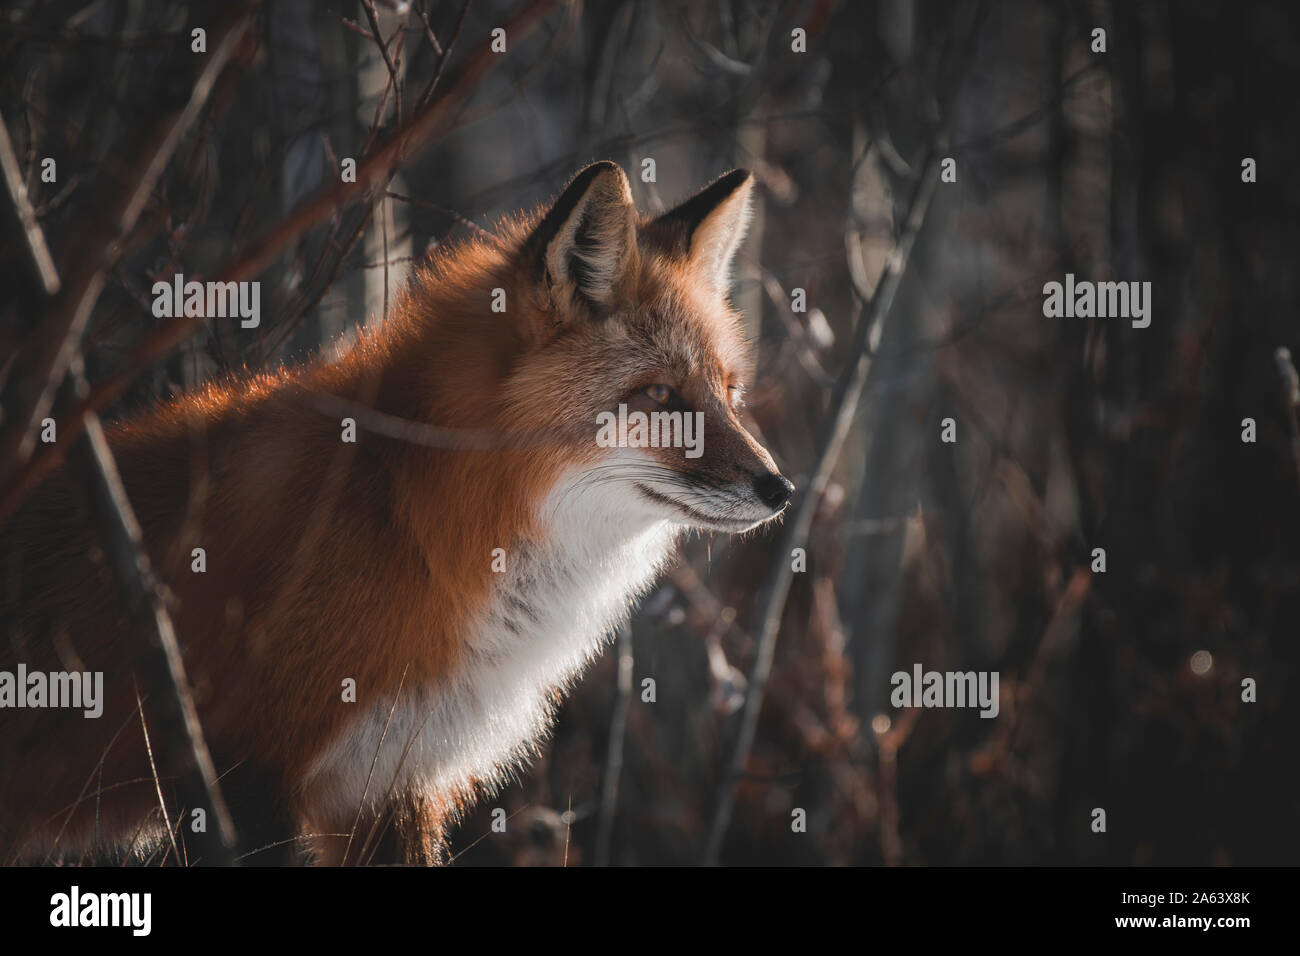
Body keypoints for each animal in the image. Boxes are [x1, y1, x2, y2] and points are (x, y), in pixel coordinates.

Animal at [0, 164, 790, 868]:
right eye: (659, 395)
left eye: (728, 391)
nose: (780, 489)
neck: (410, 516)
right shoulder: (241, 768)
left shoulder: (389, 787)